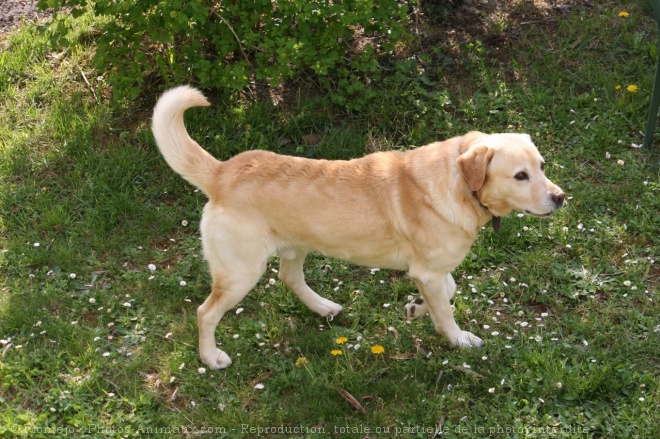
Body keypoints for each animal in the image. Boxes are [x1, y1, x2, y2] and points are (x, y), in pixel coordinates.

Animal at [152, 85, 564, 368]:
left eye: (542, 166)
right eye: (521, 175)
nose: (560, 197)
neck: (460, 183)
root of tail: (223, 171)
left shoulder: (430, 271)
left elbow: (449, 289)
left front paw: (417, 308)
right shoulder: (428, 271)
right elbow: (447, 311)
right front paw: (458, 339)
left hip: (294, 247)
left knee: (290, 278)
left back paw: (324, 307)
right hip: (241, 272)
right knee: (205, 312)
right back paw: (211, 358)